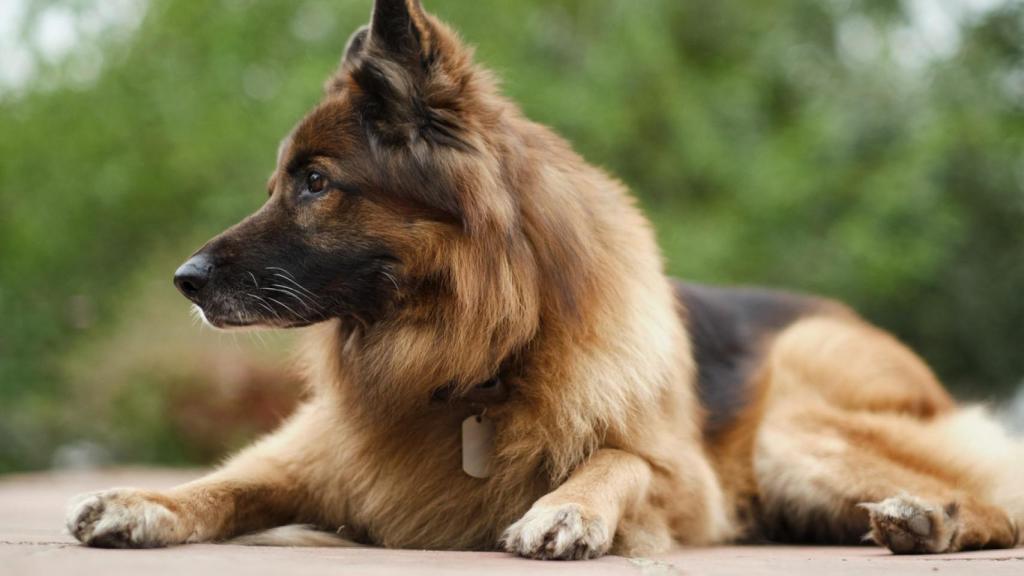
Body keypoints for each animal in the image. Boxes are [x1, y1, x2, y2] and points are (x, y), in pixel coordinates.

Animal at [68, 0, 1019, 557]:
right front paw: (146, 500)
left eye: (315, 182)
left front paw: (568, 509)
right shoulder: (315, 456)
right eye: (279, 182)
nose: (185, 281)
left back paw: (931, 519)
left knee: (1001, 501)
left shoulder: (691, 484)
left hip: (789, 428)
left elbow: (618, 456)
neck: (474, 361)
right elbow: (228, 483)